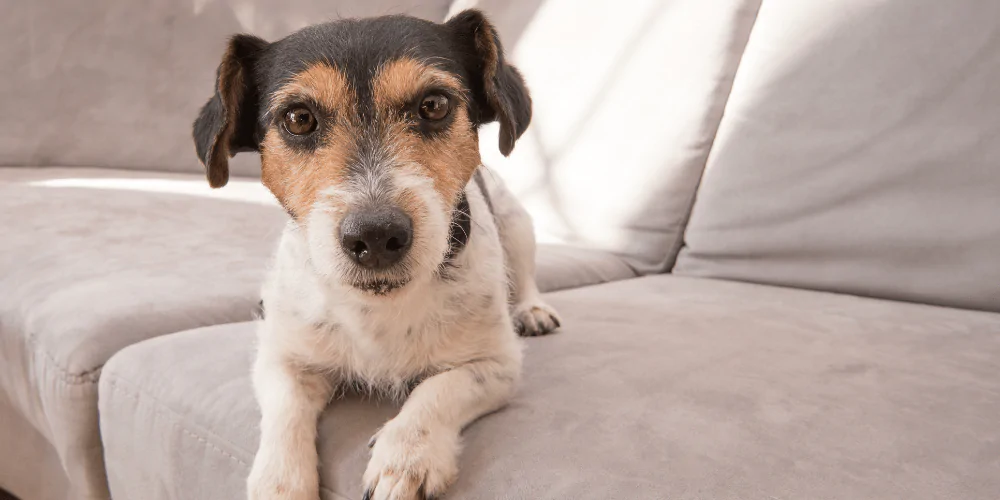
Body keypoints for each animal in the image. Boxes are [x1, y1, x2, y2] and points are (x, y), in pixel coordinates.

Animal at [191, 8, 560, 500]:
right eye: (299, 118)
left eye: (434, 105)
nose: (377, 234)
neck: (377, 306)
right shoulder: (283, 358)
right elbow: (286, 411)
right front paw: (279, 479)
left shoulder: (496, 366)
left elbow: (438, 390)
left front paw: (406, 457)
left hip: (517, 225)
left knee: (526, 274)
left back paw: (534, 309)